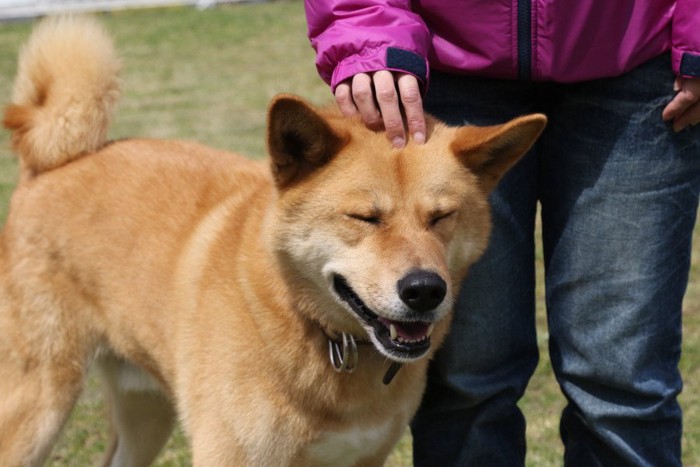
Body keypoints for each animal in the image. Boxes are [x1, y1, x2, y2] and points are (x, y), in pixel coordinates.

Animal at [0, 16, 548, 466]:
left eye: (441, 217)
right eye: (365, 217)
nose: (425, 291)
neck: (322, 335)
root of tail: (47, 166)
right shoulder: (231, 456)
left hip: (145, 410)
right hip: (37, 404)